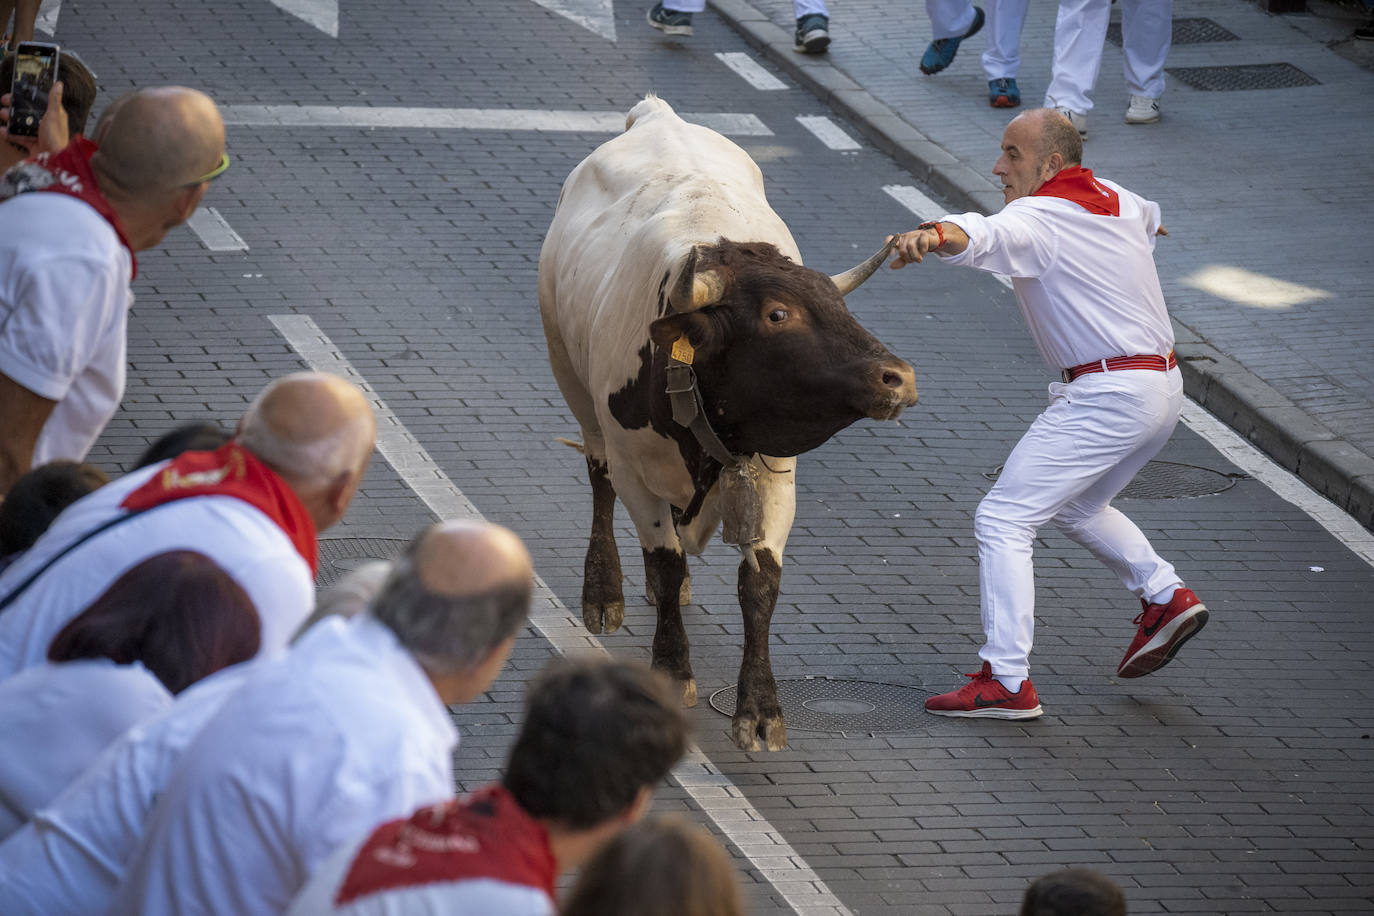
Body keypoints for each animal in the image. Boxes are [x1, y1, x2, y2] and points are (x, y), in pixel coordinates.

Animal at [541, 94, 917, 752]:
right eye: (777, 314)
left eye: (840, 306)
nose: (898, 377)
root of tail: (656, 115)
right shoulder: (635, 470)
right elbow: (664, 561)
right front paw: (672, 670)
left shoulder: (775, 475)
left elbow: (759, 584)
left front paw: (759, 710)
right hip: (571, 378)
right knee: (597, 477)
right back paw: (604, 591)